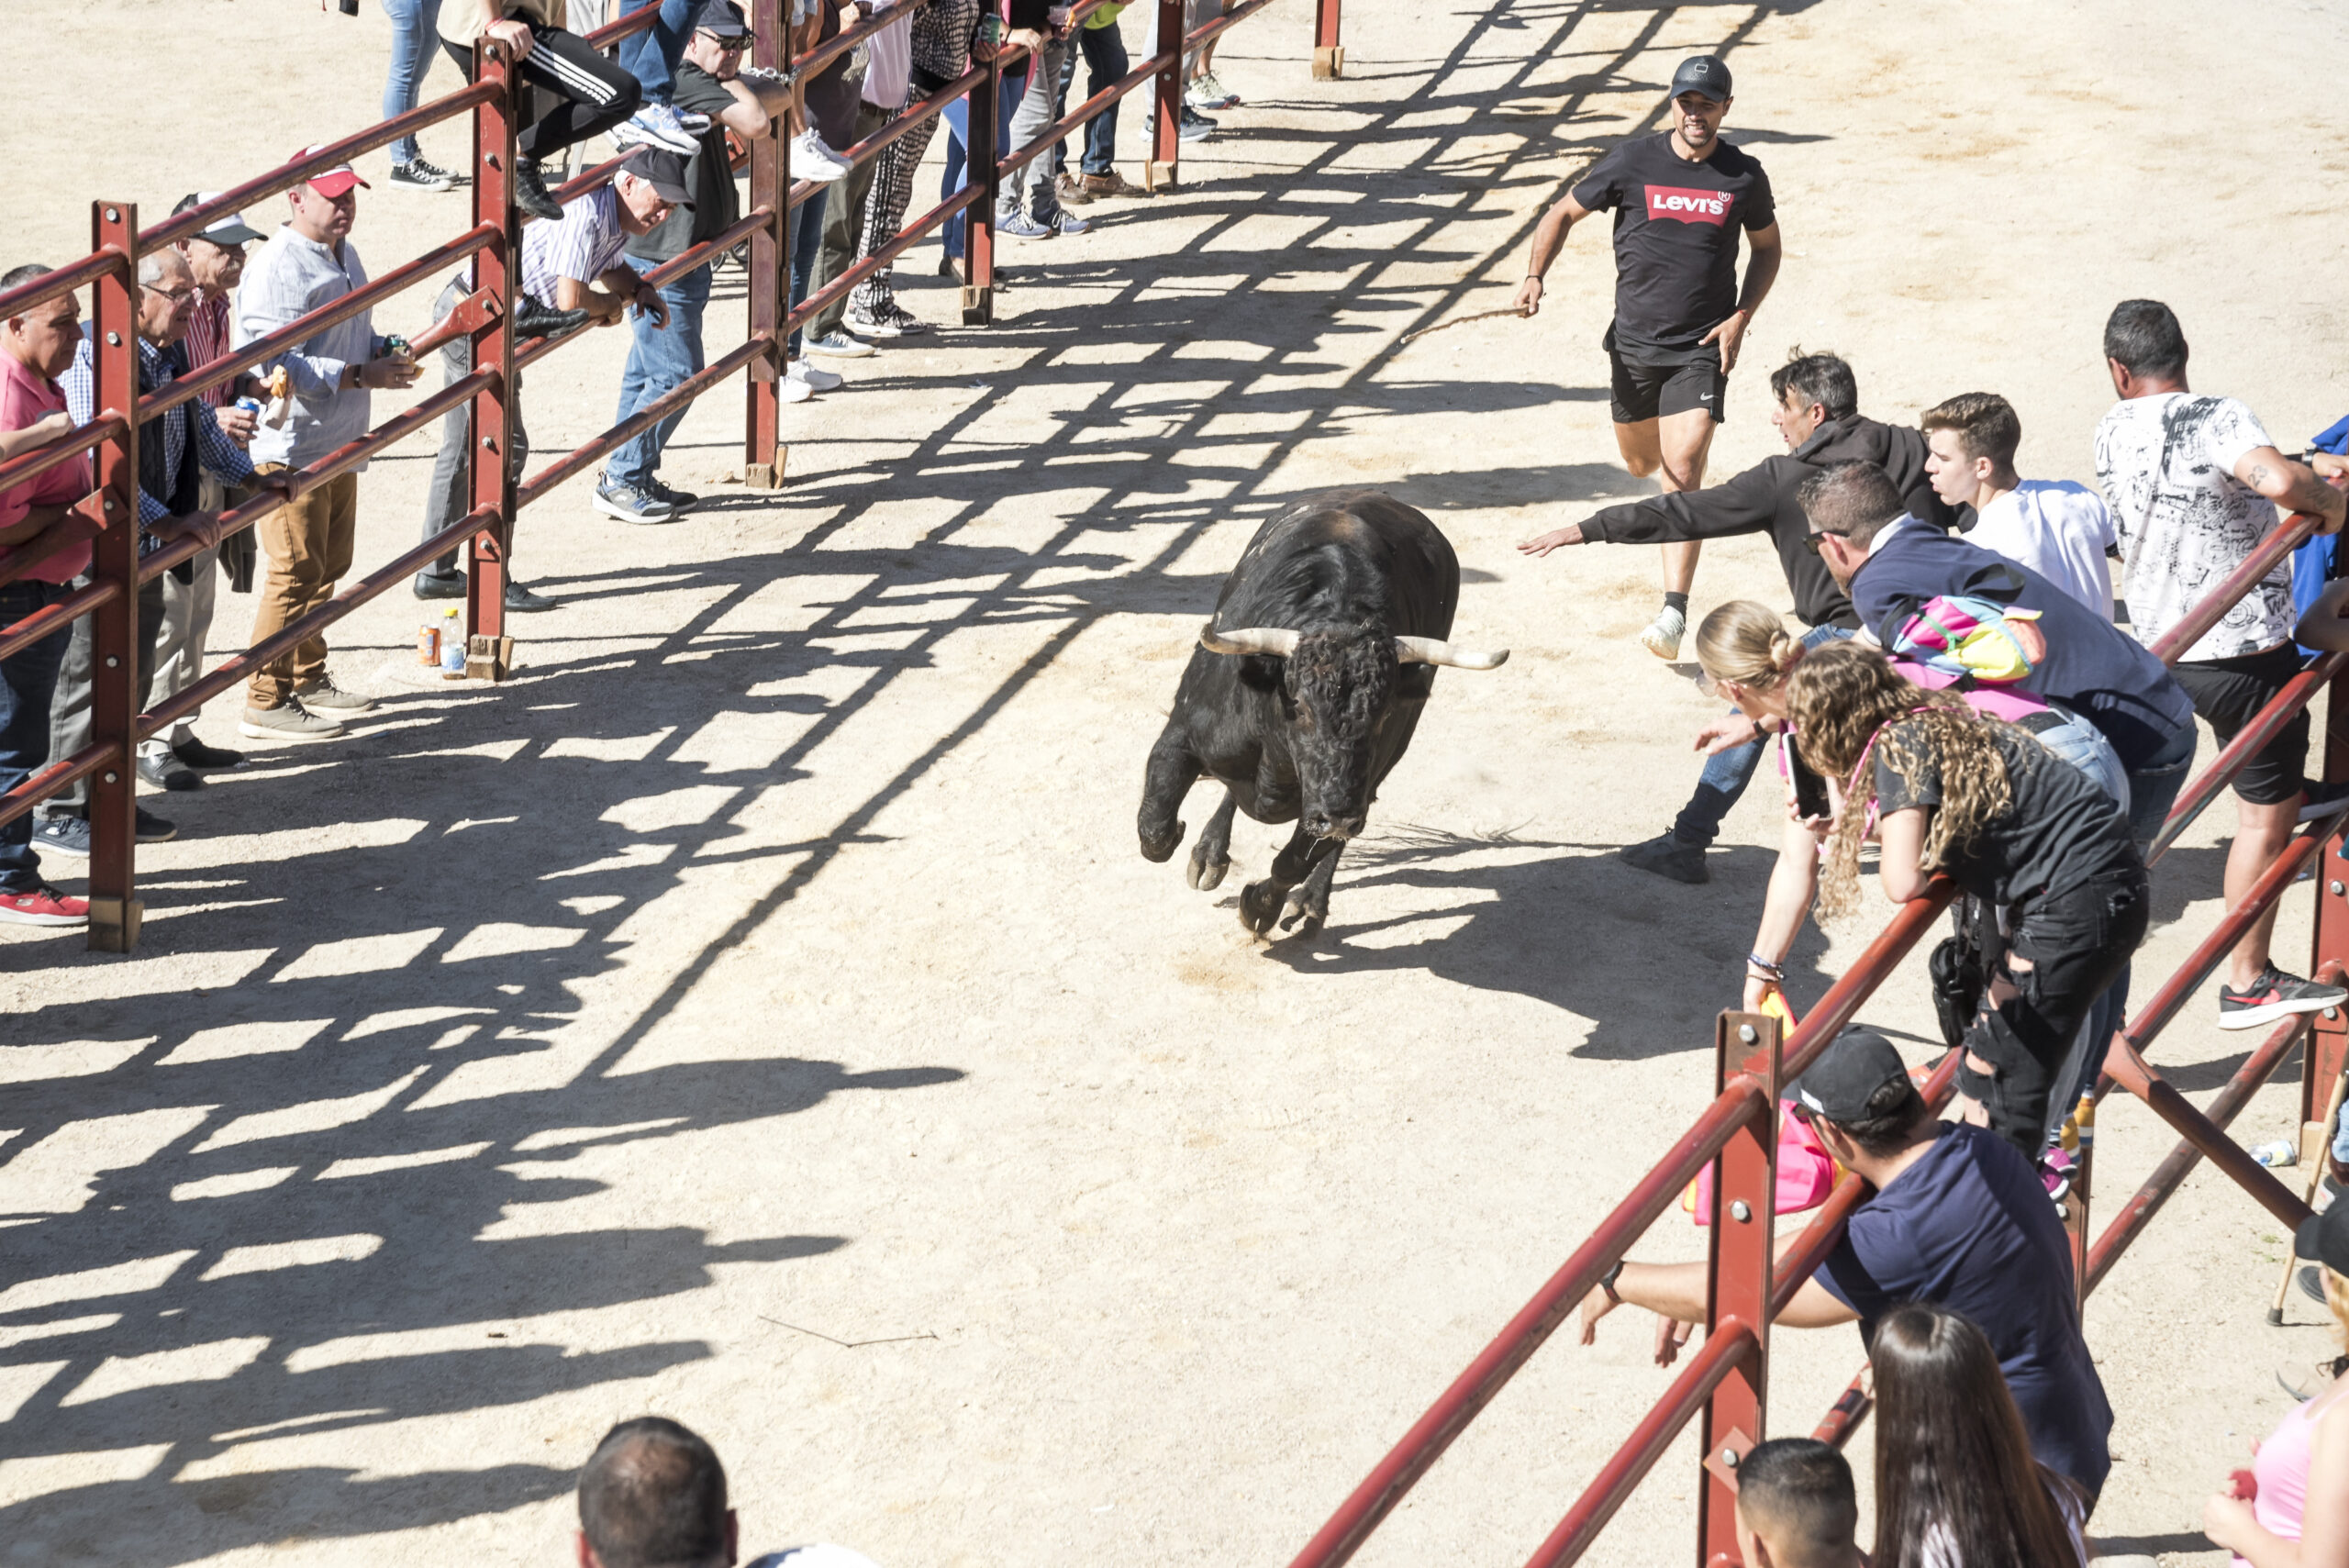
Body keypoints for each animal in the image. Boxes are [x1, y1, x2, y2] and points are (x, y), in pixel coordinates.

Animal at [1131, 490, 1503, 929]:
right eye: (1301, 707)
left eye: (1384, 715)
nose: (1339, 814)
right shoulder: (1181, 736)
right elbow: (1155, 828)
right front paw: (1183, 836)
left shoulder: (1349, 795)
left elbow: (1294, 861)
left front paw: (1261, 907)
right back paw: (1209, 855)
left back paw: (1309, 901)